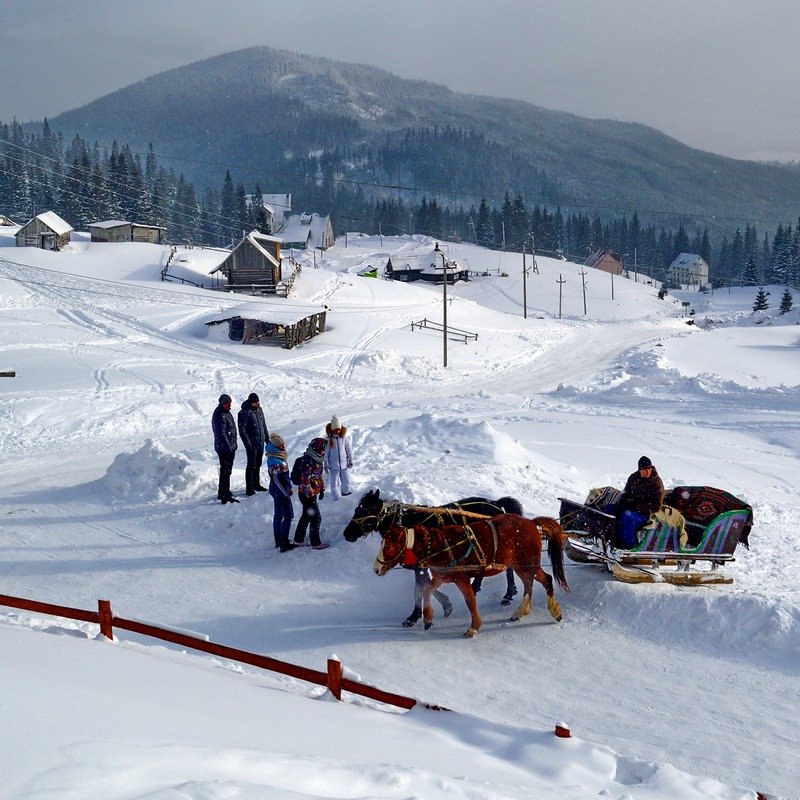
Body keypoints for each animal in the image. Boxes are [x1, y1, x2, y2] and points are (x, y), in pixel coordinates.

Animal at [376, 512, 568, 636]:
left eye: (388, 546)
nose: (376, 569)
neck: (439, 546)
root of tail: (531, 522)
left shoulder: (461, 579)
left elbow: (470, 601)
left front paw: (473, 627)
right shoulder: (441, 577)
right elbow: (426, 591)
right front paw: (429, 618)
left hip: (528, 564)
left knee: (546, 579)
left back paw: (555, 611)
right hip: (520, 566)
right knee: (529, 584)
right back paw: (521, 612)